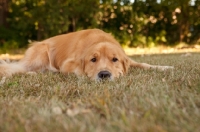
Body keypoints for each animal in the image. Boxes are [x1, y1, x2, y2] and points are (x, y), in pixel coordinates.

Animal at [0, 28, 173, 80]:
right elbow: (79, 71)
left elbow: (144, 63)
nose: (104, 75)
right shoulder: (67, 64)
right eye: (93, 59)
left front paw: (165, 67)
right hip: (41, 52)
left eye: (115, 59)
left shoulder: (129, 60)